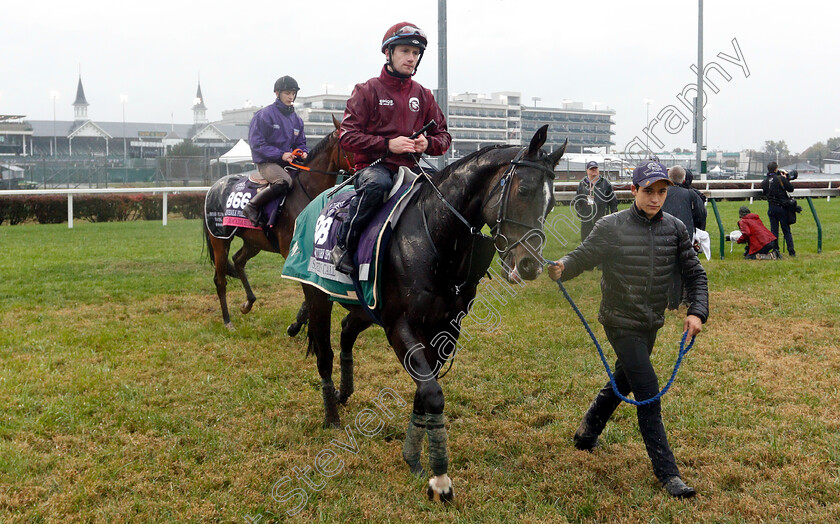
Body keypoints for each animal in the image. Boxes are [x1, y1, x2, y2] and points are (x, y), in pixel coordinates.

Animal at [205, 115, 352, 328]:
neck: (306, 192)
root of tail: (214, 186)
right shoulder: (291, 250)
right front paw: (299, 322)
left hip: (254, 241)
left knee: (238, 261)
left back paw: (248, 303)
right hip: (219, 240)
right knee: (220, 279)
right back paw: (227, 321)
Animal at [298, 126, 568, 504]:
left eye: (553, 202)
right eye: (525, 190)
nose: (530, 265)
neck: (435, 239)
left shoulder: (445, 330)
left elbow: (424, 392)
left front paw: (413, 457)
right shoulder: (401, 327)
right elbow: (432, 393)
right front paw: (440, 478)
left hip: (365, 307)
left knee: (347, 330)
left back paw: (345, 391)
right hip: (318, 297)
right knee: (324, 354)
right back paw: (331, 415)